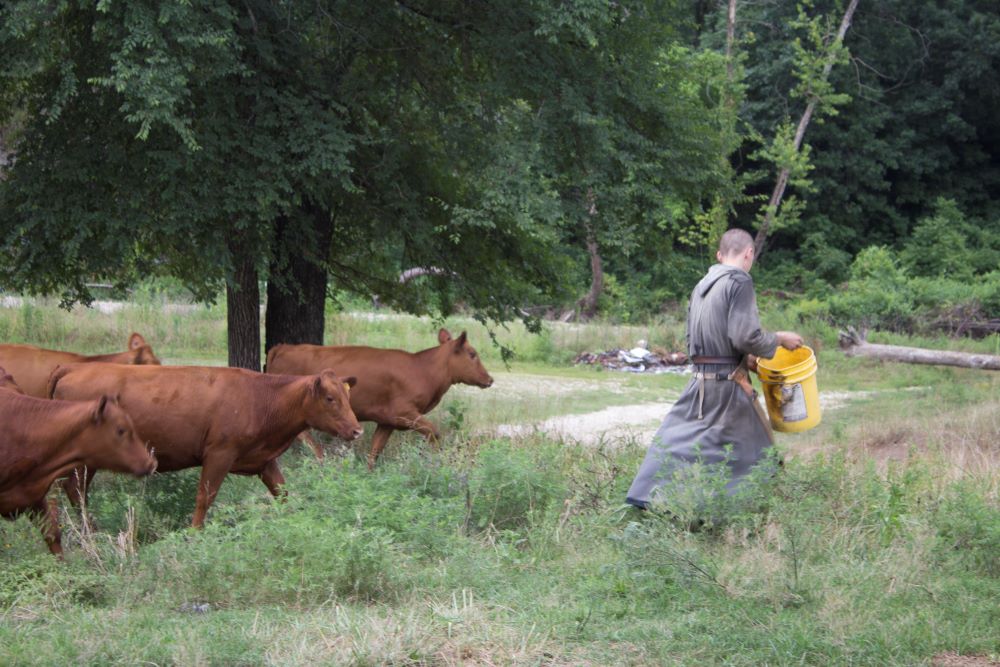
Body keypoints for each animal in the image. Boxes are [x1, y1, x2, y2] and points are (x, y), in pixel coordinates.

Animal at [49, 366, 364, 528]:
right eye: (330, 398)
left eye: (347, 396)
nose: (357, 430)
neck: (260, 397)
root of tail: (74, 368)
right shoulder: (219, 454)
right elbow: (205, 497)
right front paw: (194, 534)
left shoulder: (264, 461)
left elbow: (283, 495)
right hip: (84, 461)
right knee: (75, 491)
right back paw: (89, 531)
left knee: (76, 492)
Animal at [264, 330, 494, 470]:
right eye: (472, 354)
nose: (490, 379)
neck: (423, 371)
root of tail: (283, 347)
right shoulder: (405, 413)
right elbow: (434, 432)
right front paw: (441, 463)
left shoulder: (387, 420)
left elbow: (375, 449)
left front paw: (369, 473)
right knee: (301, 433)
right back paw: (321, 458)